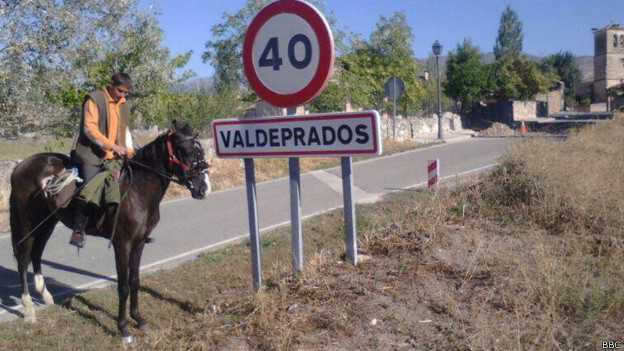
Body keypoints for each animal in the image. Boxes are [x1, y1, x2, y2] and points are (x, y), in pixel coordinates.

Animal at [9, 121, 210, 344]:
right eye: (187, 151)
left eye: (201, 151)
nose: (204, 188)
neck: (137, 190)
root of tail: (21, 165)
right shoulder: (121, 244)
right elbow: (123, 287)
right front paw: (123, 329)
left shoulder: (139, 244)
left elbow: (134, 281)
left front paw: (139, 319)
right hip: (28, 223)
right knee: (23, 259)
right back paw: (29, 310)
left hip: (47, 222)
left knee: (36, 254)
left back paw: (46, 296)